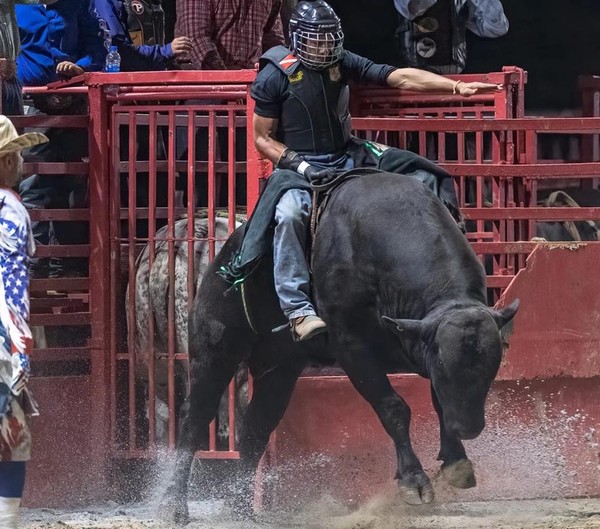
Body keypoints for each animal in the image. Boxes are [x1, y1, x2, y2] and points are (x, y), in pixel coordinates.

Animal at [161, 171, 520, 520]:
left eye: (493, 365)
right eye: (445, 364)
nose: (470, 427)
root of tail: (219, 261)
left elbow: (441, 402)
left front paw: (456, 460)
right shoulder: (353, 348)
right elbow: (393, 408)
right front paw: (414, 481)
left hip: (278, 370)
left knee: (256, 427)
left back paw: (243, 509)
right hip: (215, 351)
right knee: (194, 419)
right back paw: (175, 506)